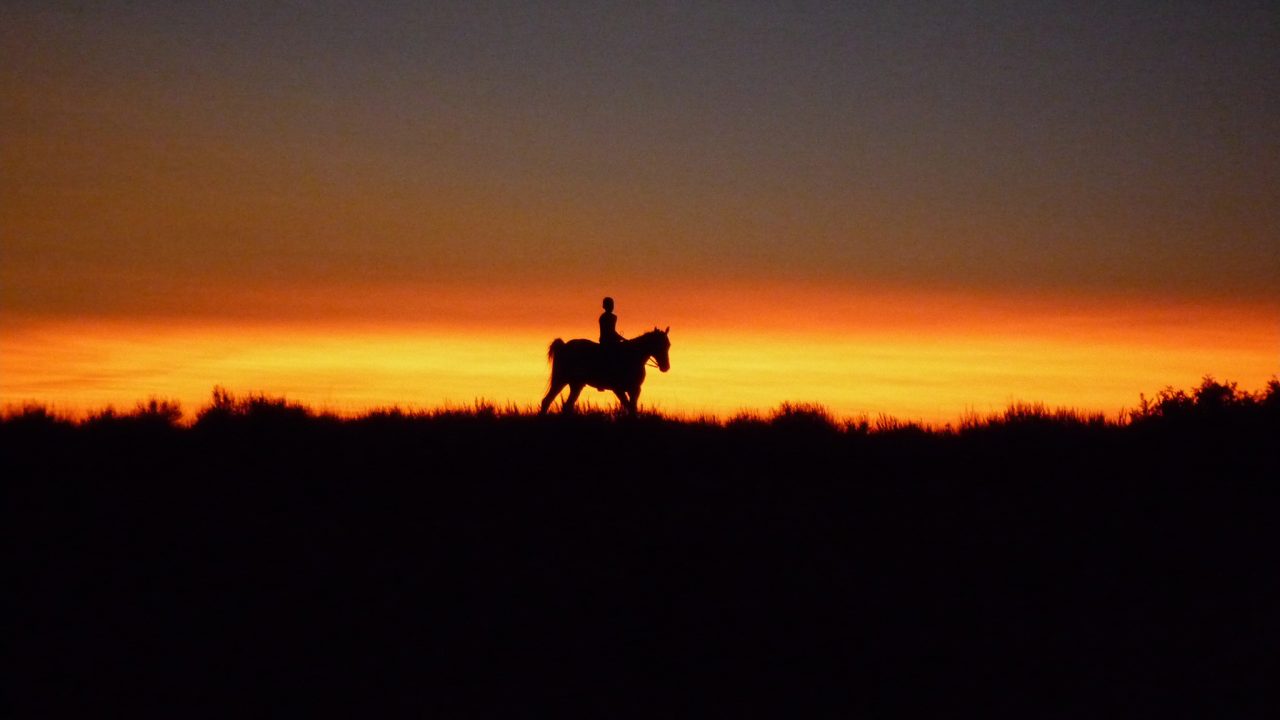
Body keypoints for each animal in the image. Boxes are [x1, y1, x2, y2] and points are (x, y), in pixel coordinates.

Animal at [537, 326, 670, 415]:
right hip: (561, 380)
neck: (632, 356)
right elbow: (629, 407)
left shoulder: (635, 389)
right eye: (659, 344)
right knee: (549, 401)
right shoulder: (618, 389)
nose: (665, 367)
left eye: (668, 345)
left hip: (574, 384)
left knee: (561, 404)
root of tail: (564, 346)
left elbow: (632, 408)